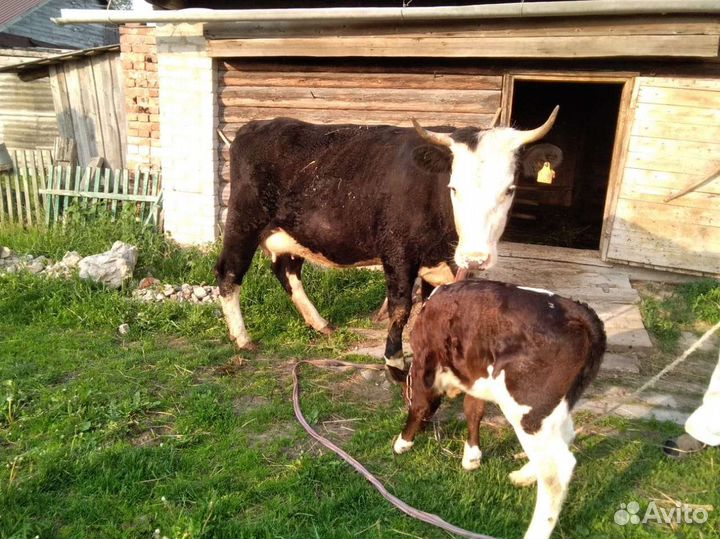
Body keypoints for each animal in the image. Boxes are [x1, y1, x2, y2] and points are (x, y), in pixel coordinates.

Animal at [215, 108, 559, 382]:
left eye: (509, 189)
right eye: (454, 188)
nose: (475, 258)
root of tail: (253, 127)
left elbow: (428, 309)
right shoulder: (398, 251)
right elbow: (401, 308)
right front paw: (394, 363)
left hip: (291, 234)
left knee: (287, 272)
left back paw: (320, 324)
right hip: (243, 222)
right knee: (228, 273)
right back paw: (242, 337)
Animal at [393, 279, 606, 539]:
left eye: (404, 394)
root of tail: (580, 314)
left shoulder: (425, 362)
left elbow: (420, 405)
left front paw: (403, 442)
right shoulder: (475, 373)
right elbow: (473, 408)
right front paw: (472, 456)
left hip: (526, 408)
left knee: (557, 469)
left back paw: (535, 531)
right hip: (554, 406)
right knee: (564, 438)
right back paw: (524, 475)